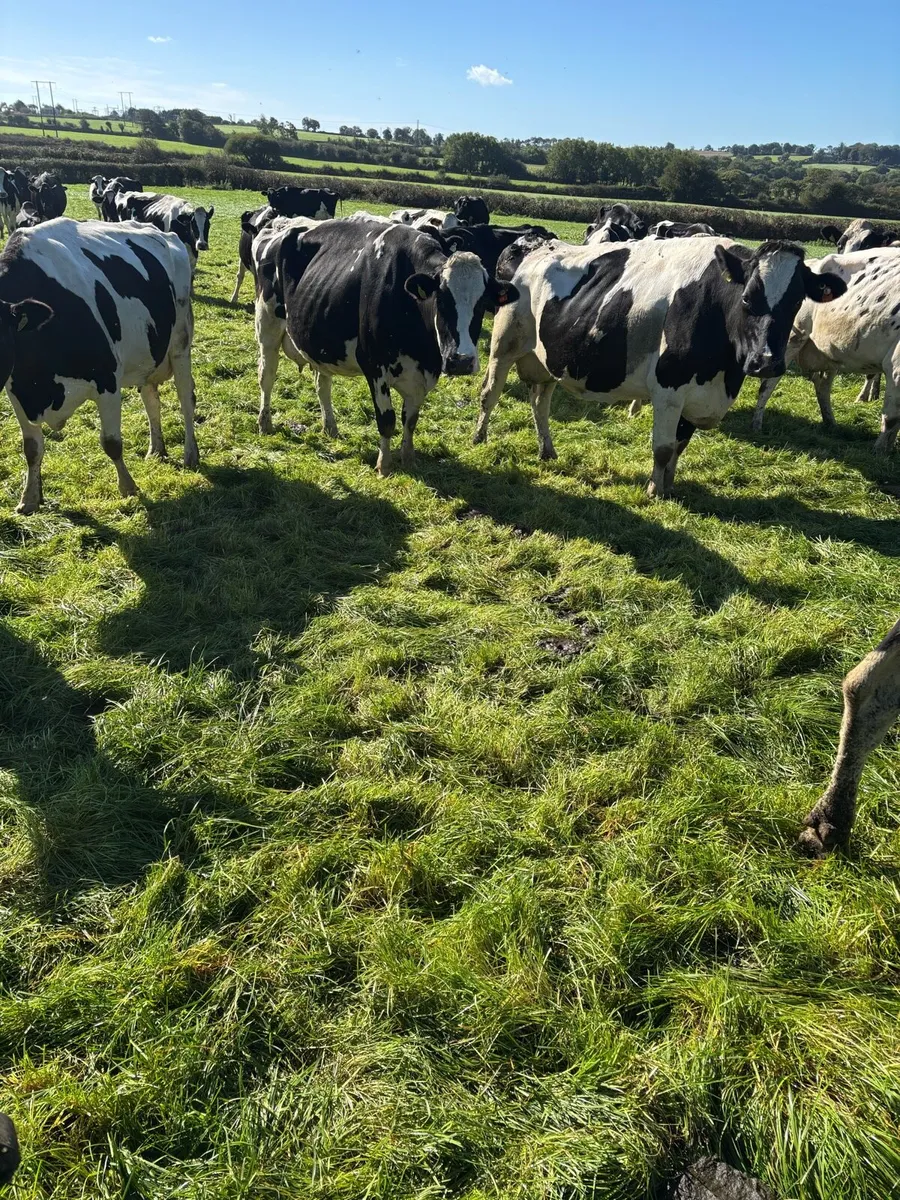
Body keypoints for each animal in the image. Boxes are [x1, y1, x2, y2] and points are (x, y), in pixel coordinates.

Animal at [0, 218, 199, 512]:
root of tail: (165, 233)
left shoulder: (107, 380)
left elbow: (111, 442)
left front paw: (128, 487)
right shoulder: (17, 392)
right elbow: (32, 448)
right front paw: (30, 498)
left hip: (180, 344)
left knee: (186, 400)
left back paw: (190, 455)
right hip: (147, 354)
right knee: (152, 402)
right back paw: (156, 450)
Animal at [257, 219, 516, 473]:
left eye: (481, 303)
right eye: (441, 300)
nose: (461, 361)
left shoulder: (422, 373)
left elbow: (410, 420)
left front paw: (409, 458)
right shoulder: (374, 366)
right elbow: (387, 420)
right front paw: (384, 465)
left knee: (323, 385)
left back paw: (330, 427)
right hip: (267, 327)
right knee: (266, 376)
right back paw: (265, 423)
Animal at [473, 237, 846, 496]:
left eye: (796, 301)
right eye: (746, 299)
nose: (766, 362)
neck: (723, 374)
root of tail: (537, 246)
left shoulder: (696, 395)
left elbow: (679, 446)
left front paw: (669, 485)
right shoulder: (669, 387)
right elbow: (664, 447)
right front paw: (654, 490)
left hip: (547, 357)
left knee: (540, 402)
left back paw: (547, 450)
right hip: (504, 344)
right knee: (490, 393)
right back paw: (479, 438)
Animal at [751, 247, 900, 448]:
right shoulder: (896, 367)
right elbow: (891, 419)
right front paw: (880, 450)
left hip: (831, 353)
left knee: (823, 386)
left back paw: (830, 422)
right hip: (793, 339)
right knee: (768, 384)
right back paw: (756, 424)